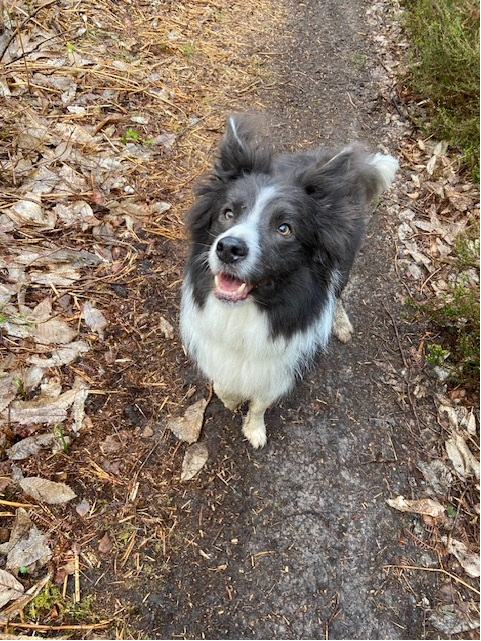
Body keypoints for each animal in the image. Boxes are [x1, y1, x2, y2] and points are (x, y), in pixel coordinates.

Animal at [178, 114, 396, 444]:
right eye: (228, 213)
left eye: (284, 229)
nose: (228, 248)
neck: (248, 311)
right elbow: (225, 384)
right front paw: (230, 398)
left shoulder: (279, 366)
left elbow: (260, 402)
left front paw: (254, 429)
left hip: (346, 259)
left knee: (338, 292)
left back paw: (340, 321)